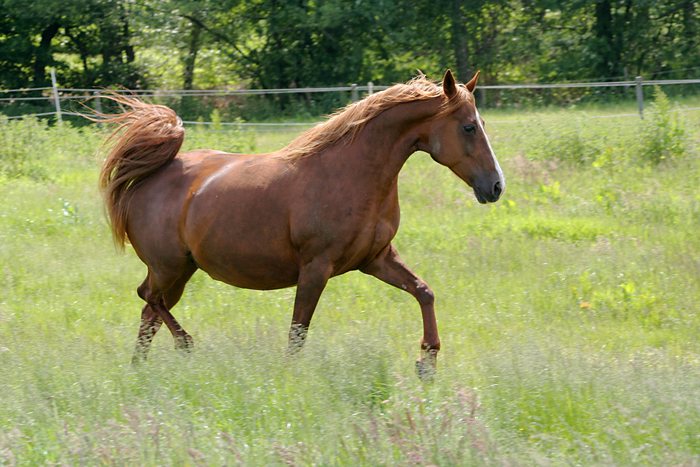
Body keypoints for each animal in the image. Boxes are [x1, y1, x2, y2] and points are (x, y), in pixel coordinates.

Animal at [97, 69, 504, 378]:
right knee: (148, 298)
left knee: (148, 312)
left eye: (481, 123)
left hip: (181, 271)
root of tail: (149, 177)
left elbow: (424, 291)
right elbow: (298, 333)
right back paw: (185, 346)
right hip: (169, 267)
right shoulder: (315, 268)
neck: (352, 174)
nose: (496, 186)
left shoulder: (376, 259)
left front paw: (427, 363)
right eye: (469, 127)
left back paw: (139, 370)